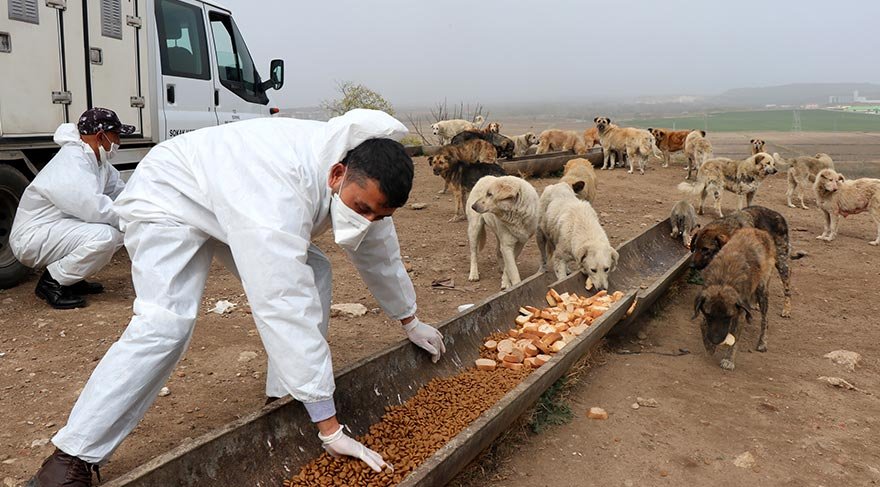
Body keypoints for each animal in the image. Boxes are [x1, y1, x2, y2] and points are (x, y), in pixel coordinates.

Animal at [696, 228, 776, 370]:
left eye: (728, 317)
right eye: (709, 315)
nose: (716, 340)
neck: (724, 280)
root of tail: (759, 231)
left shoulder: (739, 313)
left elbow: (734, 338)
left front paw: (728, 359)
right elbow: (702, 324)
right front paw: (709, 346)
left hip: (762, 291)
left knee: (764, 319)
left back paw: (762, 342)